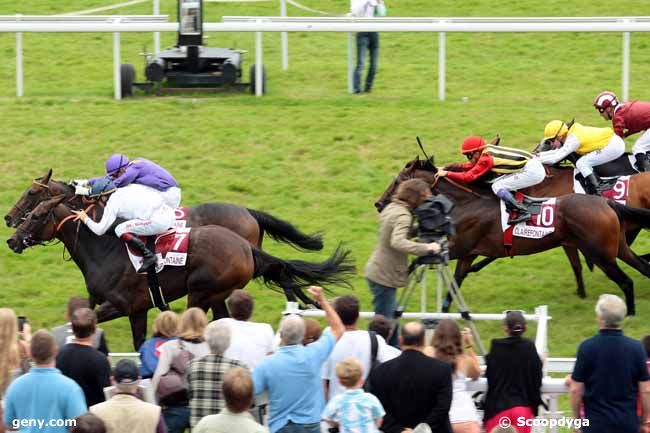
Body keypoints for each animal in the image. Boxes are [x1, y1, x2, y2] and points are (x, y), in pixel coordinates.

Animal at [6, 193, 354, 348]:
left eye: (36, 214)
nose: (11, 238)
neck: (105, 249)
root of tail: (245, 247)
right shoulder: (132, 308)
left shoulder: (123, 305)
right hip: (217, 294)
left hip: (201, 291)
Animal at [374, 155, 650, 314]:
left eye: (399, 179)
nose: (379, 203)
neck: (468, 203)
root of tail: (606, 202)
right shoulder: (468, 253)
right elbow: (456, 282)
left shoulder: (459, 248)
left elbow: (419, 260)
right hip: (616, 248)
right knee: (641, 266)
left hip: (601, 254)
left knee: (626, 281)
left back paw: (628, 315)